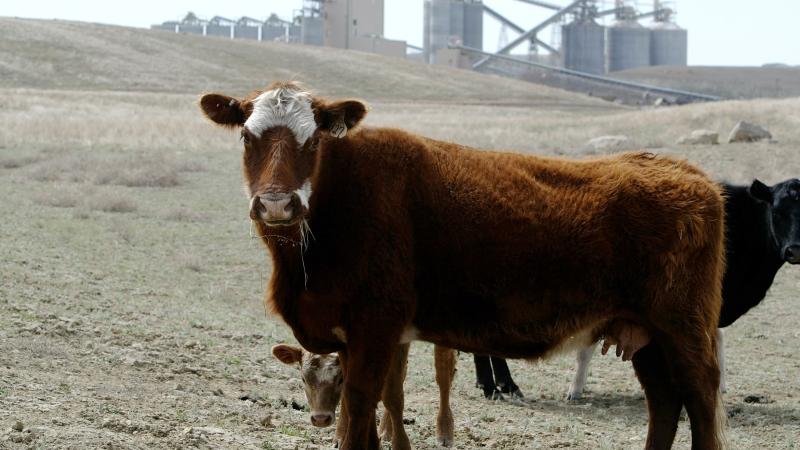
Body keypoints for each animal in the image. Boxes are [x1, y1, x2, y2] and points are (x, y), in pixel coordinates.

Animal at [272, 343, 457, 448]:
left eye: (339, 379)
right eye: (303, 378)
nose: (320, 419)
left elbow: (392, 394)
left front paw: (401, 445)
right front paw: (348, 439)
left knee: (444, 369)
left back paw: (445, 433)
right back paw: (386, 431)